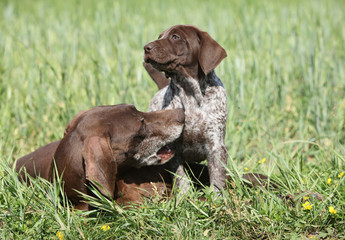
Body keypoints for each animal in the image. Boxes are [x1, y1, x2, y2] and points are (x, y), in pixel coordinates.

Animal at [143, 24, 227, 193]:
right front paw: (184, 197)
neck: (190, 91)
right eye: (160, 36)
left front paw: (217, 198)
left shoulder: (216, 146)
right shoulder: (173, 148)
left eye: (176, 37)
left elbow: (217, 178)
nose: (146, 48)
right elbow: (181, 178)